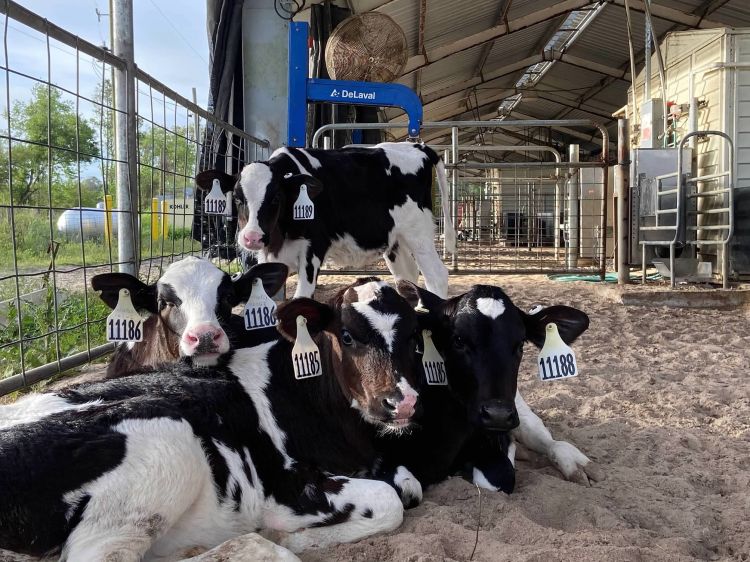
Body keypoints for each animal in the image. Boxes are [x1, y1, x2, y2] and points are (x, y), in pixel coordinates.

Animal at [195, 141, 458, 298]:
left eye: (276, 198)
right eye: (237, 197)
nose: (251, 238)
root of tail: (417, 145)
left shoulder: (314, 247)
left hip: (419, 233)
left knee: (436, 276)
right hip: (396, 239)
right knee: (407, 276)